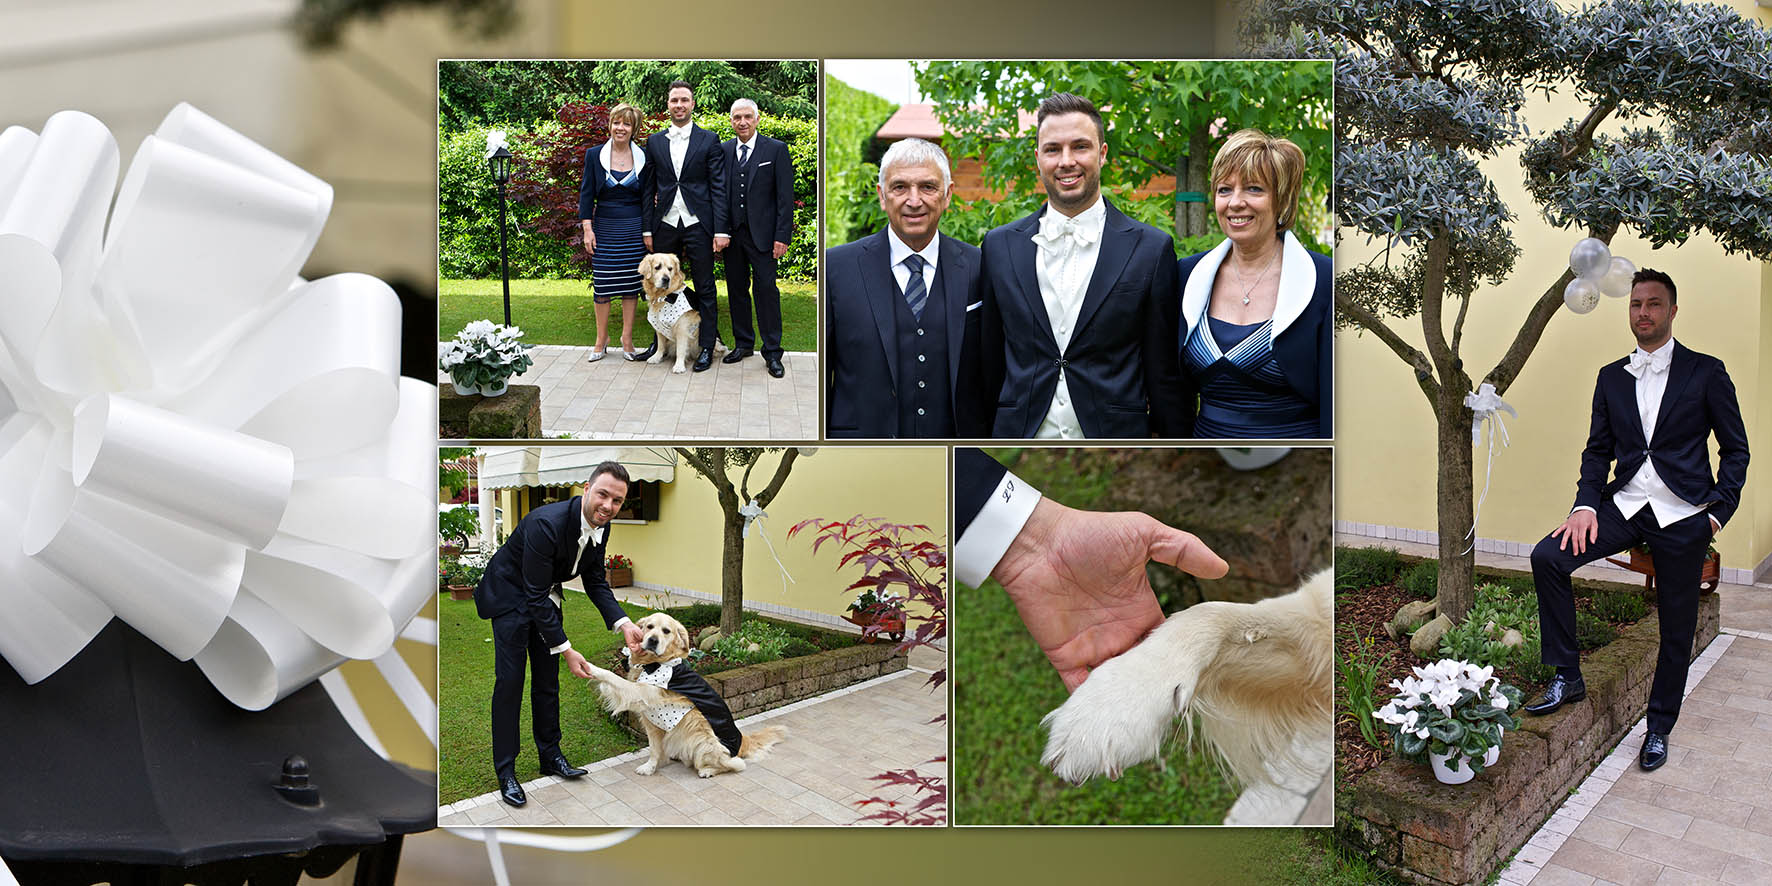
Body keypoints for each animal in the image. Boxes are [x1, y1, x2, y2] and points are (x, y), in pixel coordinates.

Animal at [577, 616, 786, 776]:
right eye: (649, 627)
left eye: (666, 631)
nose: (652, 640)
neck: (655, 663)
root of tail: (742, 739)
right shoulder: (652, 724)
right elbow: (654, 749)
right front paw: (650, 767)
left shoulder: (640, 691)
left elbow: (611, 676)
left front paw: (589, 667)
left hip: (703, 739)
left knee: (736, 765)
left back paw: (708, 770)